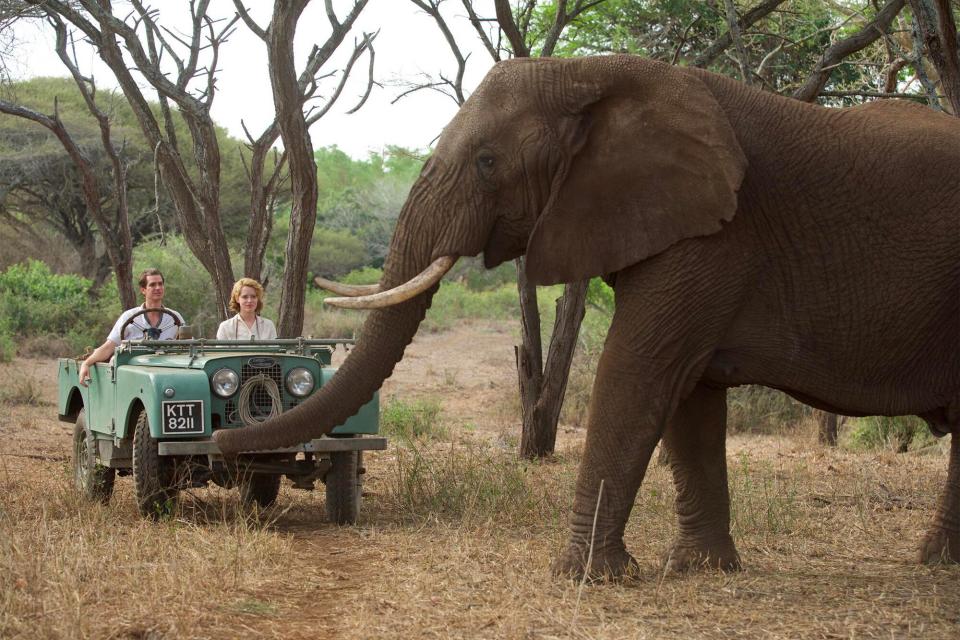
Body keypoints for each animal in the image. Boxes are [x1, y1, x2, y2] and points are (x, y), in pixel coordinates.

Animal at [214, 53, 956, 576]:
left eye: (488, 162)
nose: (223, 438)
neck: (598, 75)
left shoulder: (717, 236)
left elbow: (641, 371)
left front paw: (584, 576)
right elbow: (690, 395)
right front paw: (698, 570)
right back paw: (936, 562)